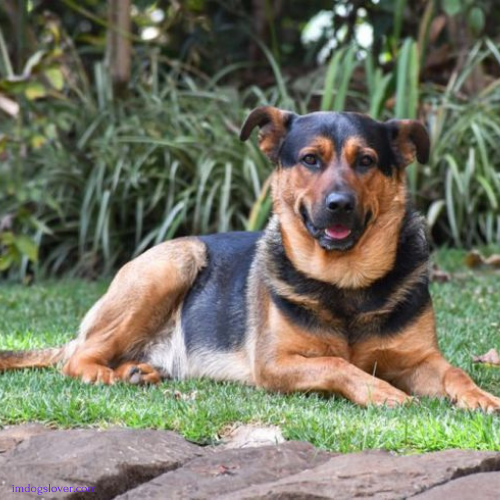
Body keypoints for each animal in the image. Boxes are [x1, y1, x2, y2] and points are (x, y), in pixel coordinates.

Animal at [1, 106, 498, 410]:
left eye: (367, 161)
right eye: (311, 160)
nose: (339, 204)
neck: (345, 281)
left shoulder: (420, 360)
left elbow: (455, 372)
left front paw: (480, 395)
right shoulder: (275, 365)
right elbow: (338, 364)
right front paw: (381, 391)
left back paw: (136, 371)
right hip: (175, 260)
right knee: (76, 357)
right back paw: (104, 374)